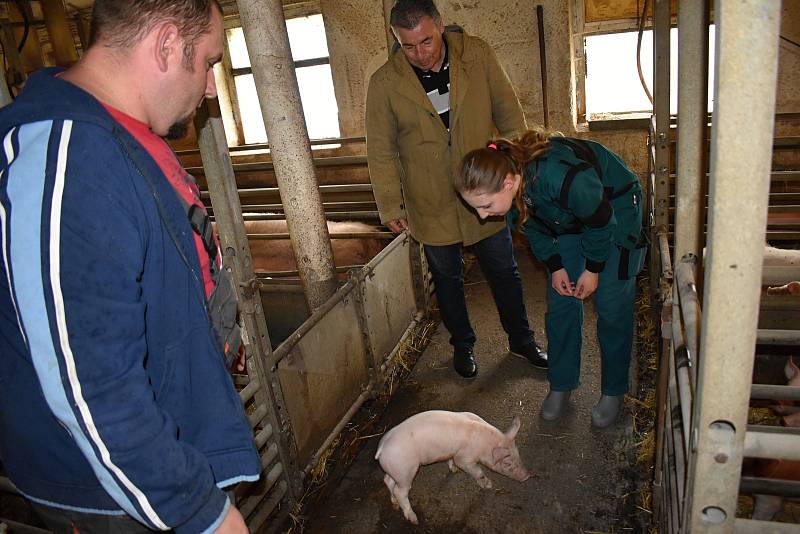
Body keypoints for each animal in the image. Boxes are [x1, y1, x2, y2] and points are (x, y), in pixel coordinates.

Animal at [376, 412, 532, 524]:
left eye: (518, 453)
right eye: (507, 463)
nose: (527, 476)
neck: (485, 444)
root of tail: (381, 449)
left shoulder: (452, 451)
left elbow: (450, 460)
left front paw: (454, 470)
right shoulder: (465, 458)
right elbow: (476, 471)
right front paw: (488, 485)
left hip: (396, 470)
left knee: (387, 481)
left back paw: (394, 503)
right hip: (405, 470)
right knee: (400, 491)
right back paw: (414, 519)